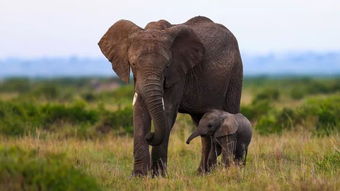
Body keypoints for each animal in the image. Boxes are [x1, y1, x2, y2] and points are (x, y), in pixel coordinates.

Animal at [97, 16, 243, 176]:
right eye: (133, 64)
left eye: (166, 66)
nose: (150, 135)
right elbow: (139, 112)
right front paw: (139, 176)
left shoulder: (178, 73)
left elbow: (168, 111)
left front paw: (158, 175)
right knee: (202, 124)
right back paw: (203, 173)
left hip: (235, 72)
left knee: (230, 115)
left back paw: (228, 170)